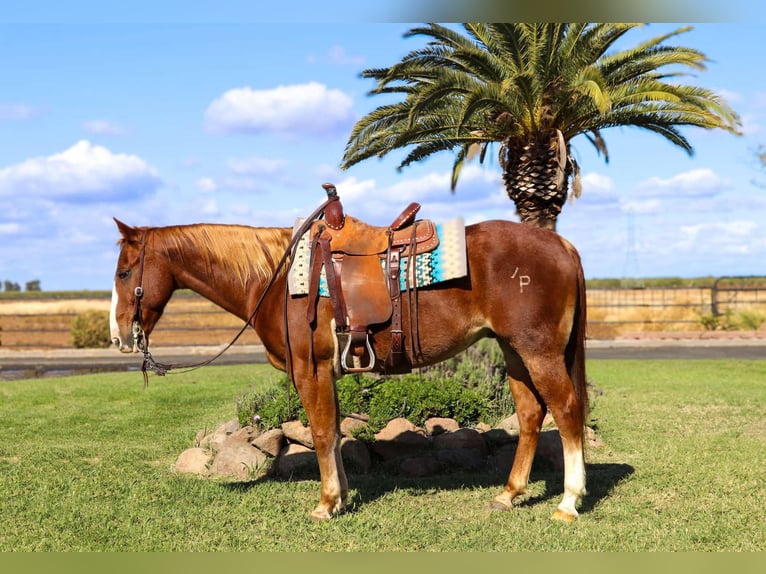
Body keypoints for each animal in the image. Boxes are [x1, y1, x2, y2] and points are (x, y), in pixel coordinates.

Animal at [110, 205, 589, 522]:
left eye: (123, 273)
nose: (119, 337)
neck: (276, 281)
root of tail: (562, 244)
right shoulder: (329, 371)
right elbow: (335, 431)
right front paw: (340, 497)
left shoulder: (311, 369)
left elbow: (322, 432)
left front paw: (325, 504)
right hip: (514, 351)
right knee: (531, 414)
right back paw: (510, 494)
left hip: (537, 350)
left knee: (566, 411)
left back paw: (568, 502)